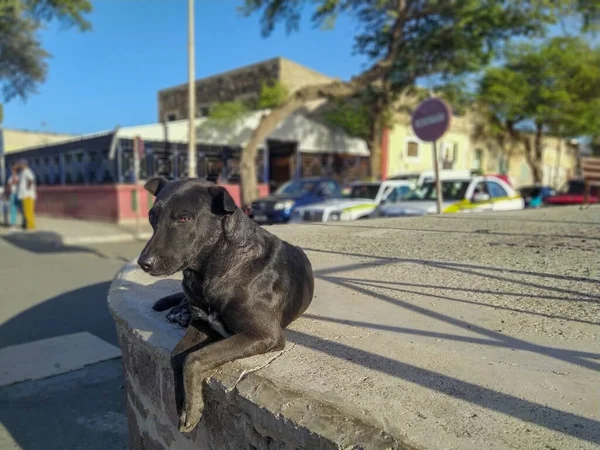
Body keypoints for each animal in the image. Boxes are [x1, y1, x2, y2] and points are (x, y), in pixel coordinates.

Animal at [137, 178, 314, 434]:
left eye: (184, 218)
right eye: (152, 217)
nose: (144, 263)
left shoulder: (264, 334)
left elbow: (193, 359)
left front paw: (190, 409)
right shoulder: (200, 325)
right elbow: (175, 356)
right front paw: (182, 402)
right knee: (184, 300)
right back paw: (179, 311)